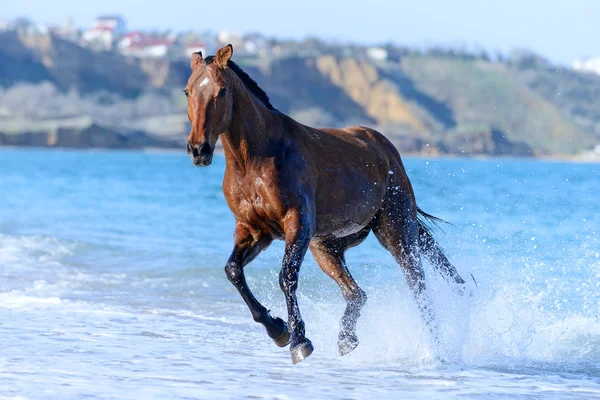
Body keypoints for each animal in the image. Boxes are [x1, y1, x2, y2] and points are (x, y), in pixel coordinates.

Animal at [185, 45, 466, 364]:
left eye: (221, 91)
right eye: (187, 91)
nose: (198, 149)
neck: (255, 161)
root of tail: (386, 149)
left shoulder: (297, 224)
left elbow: (286, 277)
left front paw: (298, 341)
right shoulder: (254, 231)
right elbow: (233, 271)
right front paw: (278, 329)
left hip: (396, 233)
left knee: (418, 289)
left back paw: (437, 350)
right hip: (326, 248)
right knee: (357, 294)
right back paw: (346, 340)